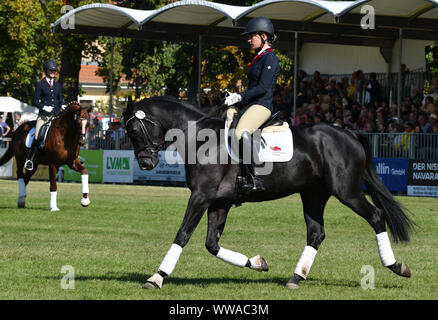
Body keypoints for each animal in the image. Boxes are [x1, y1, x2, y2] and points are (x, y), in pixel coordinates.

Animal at [121, 96, 412, 288]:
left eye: (133, 129)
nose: (146, 163)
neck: (200, 138)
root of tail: (349, 133)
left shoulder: (201, 197)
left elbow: (182, 235)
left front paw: (157, 277)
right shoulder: (219, 201)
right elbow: (212, 244)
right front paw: (258, 263)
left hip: (347, 192)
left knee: (375, 216)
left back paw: (397, 266)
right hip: (313, 195)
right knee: (316, 233)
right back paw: (295, 278)